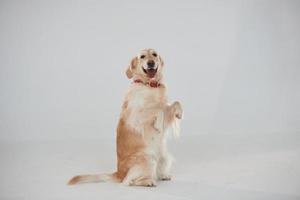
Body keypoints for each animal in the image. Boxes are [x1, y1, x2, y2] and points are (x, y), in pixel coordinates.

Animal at [68, 49, 183, 187]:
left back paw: (163, 175)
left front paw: (179, 113)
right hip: (148, 158)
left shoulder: (166, 110)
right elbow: (157, 108)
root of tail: (119, 174)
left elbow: (175, 103)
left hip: (164, 156)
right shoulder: (136, 115)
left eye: (154, 54)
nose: (151, 63)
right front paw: (158, 123)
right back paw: (148, 181)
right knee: (129, 181)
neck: (149, 84)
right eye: (142, 56)